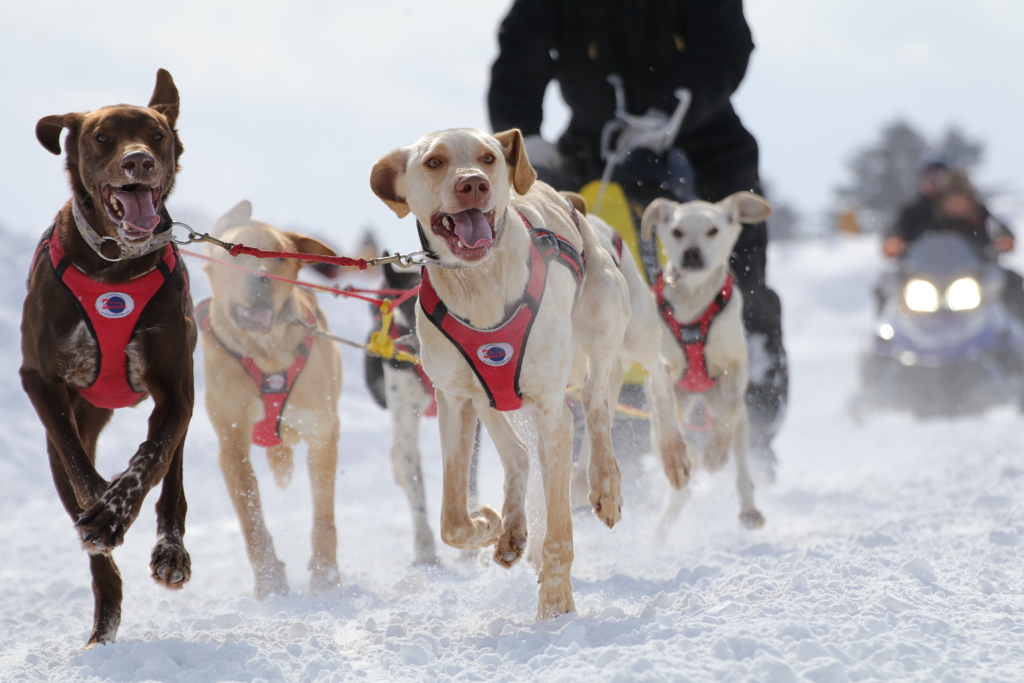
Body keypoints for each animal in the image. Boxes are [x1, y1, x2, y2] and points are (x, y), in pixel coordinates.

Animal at [19, 69, 194, 647]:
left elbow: (152, 458)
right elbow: (81, 470)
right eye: (101, 137)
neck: (115, 265)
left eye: (156, 134)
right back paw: (103, 621)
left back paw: (169, 550)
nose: (138, 161)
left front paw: (118, 507)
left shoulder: (176, 390)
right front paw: (104, 503)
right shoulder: (40, 381)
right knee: (94, 546)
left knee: (171, 473)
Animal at [198, 201, 344, 598]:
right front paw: (269, 580)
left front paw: (326, 575)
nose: (260, 278)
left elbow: (323, 516)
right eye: (235, 251)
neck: (267, 357)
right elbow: (252, 520)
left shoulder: (322, 433)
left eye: (279, 257)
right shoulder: (232, 446)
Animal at [372, 127, 630, 618]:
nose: (472, 183)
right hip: (489, 400)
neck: (480, 287)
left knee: (596, 401)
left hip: (604, 319)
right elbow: (452, 521)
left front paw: (556, 604)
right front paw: (488, 524)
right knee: (519, 455)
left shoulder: (551, 411)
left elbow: (559, 532)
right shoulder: (454, 402)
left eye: (488, 157)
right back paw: (511, 528)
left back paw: (604, 482)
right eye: (433, 162)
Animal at [634, 189, 770, 532]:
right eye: (677, 232)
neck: (694, 302)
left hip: (733, 415)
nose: (692, 253)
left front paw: (715, 452)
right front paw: (686, 455)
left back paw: (747, 505)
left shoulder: (735, 367)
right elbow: (664, 409)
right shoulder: (661, 371)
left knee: (741, 461)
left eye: (712, 230)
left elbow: (730, 412)